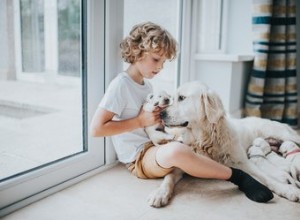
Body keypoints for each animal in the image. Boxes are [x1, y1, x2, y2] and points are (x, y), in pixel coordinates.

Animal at [148, 80, 300, 206]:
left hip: (285, 135)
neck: (204, 139)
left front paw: (288, 190)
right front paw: (159, 193)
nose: (160, 114)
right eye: (173, 98)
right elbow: (168, 177)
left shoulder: (243, 162)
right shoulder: (181, 162)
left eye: (182, 98)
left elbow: (266, 177)